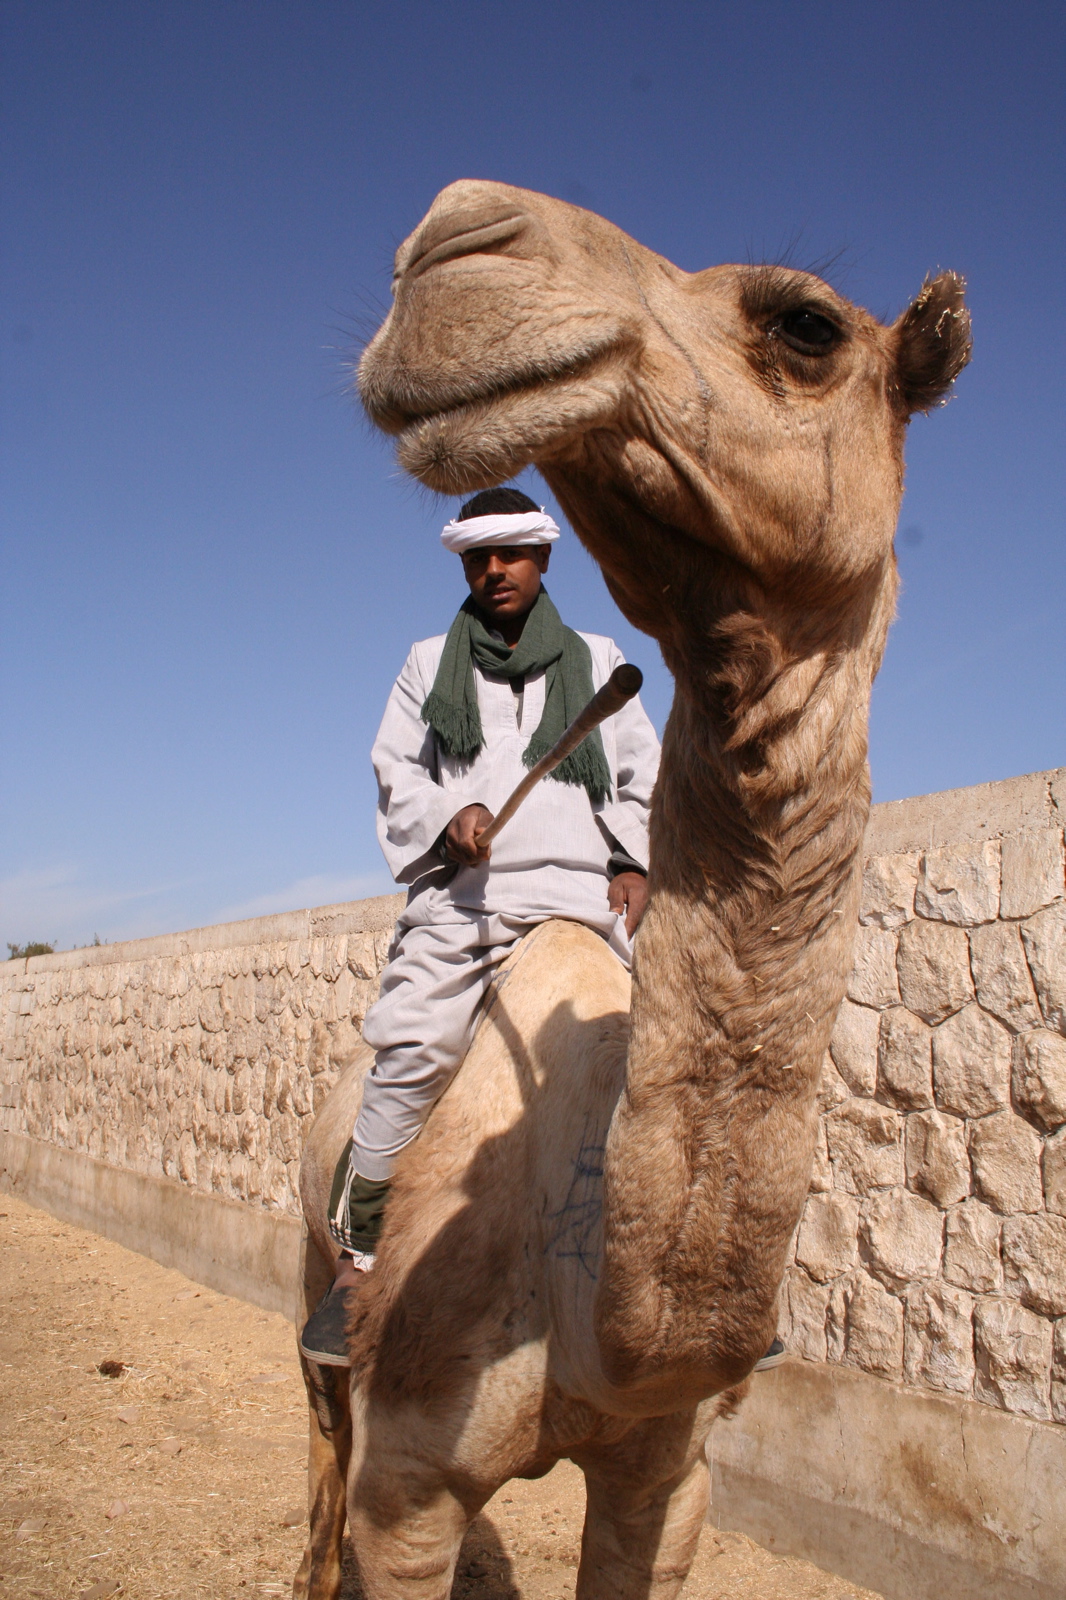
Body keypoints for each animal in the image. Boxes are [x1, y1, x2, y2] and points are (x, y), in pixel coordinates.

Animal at [294, 180, 971, 1600]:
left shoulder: (673, 1474)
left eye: (807, 324)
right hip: (307, 1279)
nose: (452, 239)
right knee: (318, 1453)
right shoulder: (409, 1487)